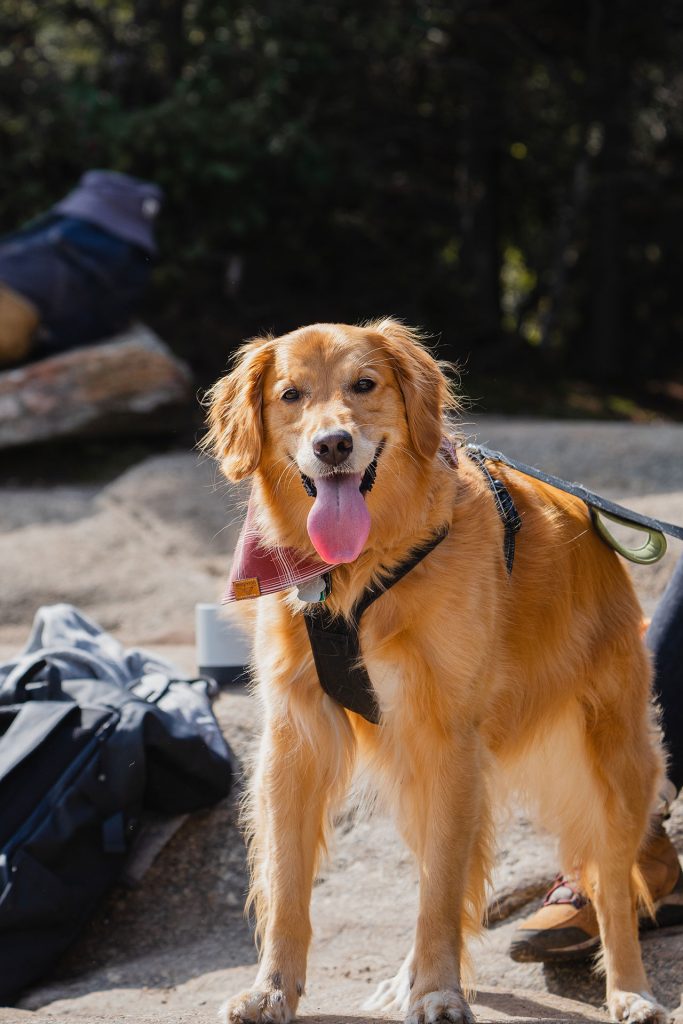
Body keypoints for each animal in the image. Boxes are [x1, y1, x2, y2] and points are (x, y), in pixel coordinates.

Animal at [202, 319, 667, 1024]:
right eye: (290, 395)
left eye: (365, 384)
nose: (333, 445)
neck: (359, 574)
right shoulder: (296, 736)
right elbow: (286, 884)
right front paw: (272, 988)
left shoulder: (448, 737)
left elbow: (443, 888)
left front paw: (440, 993)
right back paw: (406, 977)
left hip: (613, 757)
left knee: (612, 883)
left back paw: (631, 991)